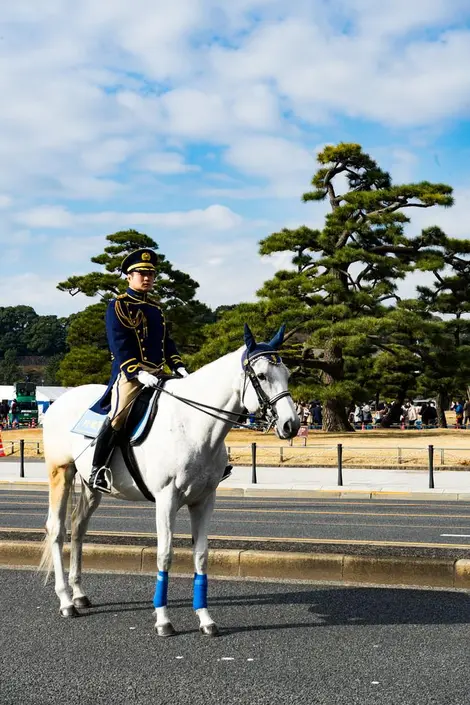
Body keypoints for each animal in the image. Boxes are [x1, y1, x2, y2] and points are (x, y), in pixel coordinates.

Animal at [38, 324, 300, 632]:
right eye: (261, 376)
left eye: (287, 374)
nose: (291, 425)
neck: (193, 424)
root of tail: (58, 402)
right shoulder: (166, 499)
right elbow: (165, 554)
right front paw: (163, 618)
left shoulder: (204, 500)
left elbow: (201, 555)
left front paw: (205, 617)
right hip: (61, 471)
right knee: (57, 530)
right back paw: (66, 600)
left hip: (92, 485)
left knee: (78, 527)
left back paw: (79, 594)